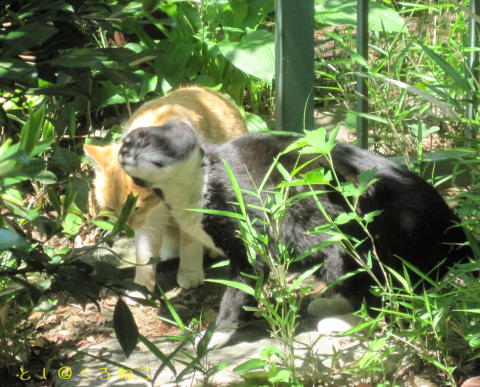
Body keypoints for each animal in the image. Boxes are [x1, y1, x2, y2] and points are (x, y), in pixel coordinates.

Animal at [83, 85, 248, 294]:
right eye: (112, 209)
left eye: (136, 207)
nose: (127, 228)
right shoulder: (150, 219)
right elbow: (144, 254)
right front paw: (141, 287)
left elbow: (190, 242)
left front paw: (190, 272)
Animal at [119, 120, 472, 348]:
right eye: (124, 141)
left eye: (143, 140)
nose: (122, 150)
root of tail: (458, 238)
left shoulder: (251, 243)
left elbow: (236, 293)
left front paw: (216, 334)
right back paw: (328, 305)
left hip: (352, 242)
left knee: (391, 303)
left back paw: (342, 322)